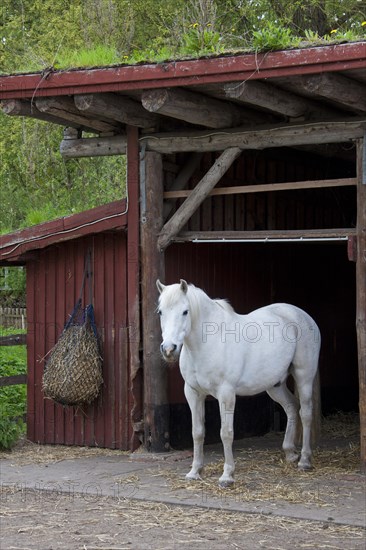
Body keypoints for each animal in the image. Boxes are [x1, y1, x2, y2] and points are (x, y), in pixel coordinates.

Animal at [157, 280, 320, 488]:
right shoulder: (193, 393)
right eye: (160, 312)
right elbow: (197, 432)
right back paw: (290, 453)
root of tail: (303, 315)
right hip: (275, 385)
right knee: (292, 407)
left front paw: (227, 475)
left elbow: (226, 433)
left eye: (185, 311)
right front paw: (194, 471)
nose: (169, 349)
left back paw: (305, 460)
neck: (209, 343)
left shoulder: (226, 394)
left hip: (304, 376)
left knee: (305, 413)